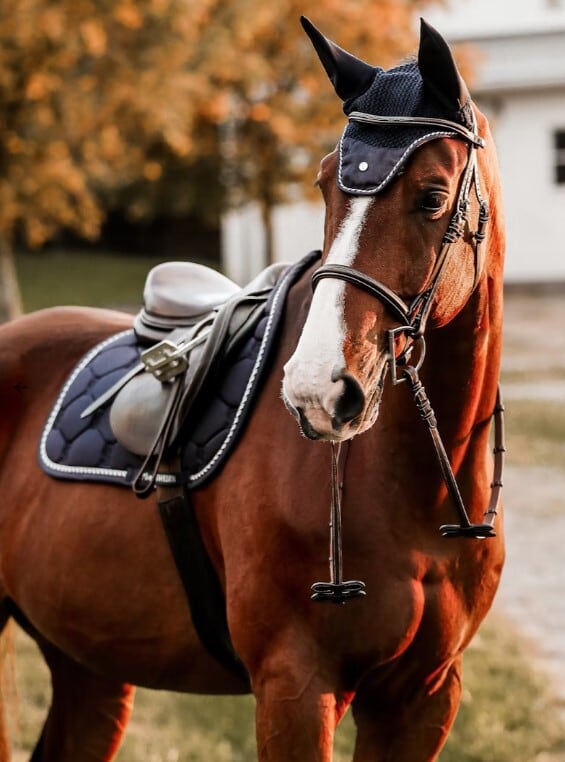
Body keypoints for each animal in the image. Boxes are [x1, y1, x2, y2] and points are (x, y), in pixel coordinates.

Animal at [0, 16, 506, 760]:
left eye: (433, 196)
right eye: (323, 183)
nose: (318, 391)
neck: (416, 492)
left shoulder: (423, 697)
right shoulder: (294, 684)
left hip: (88, 665)